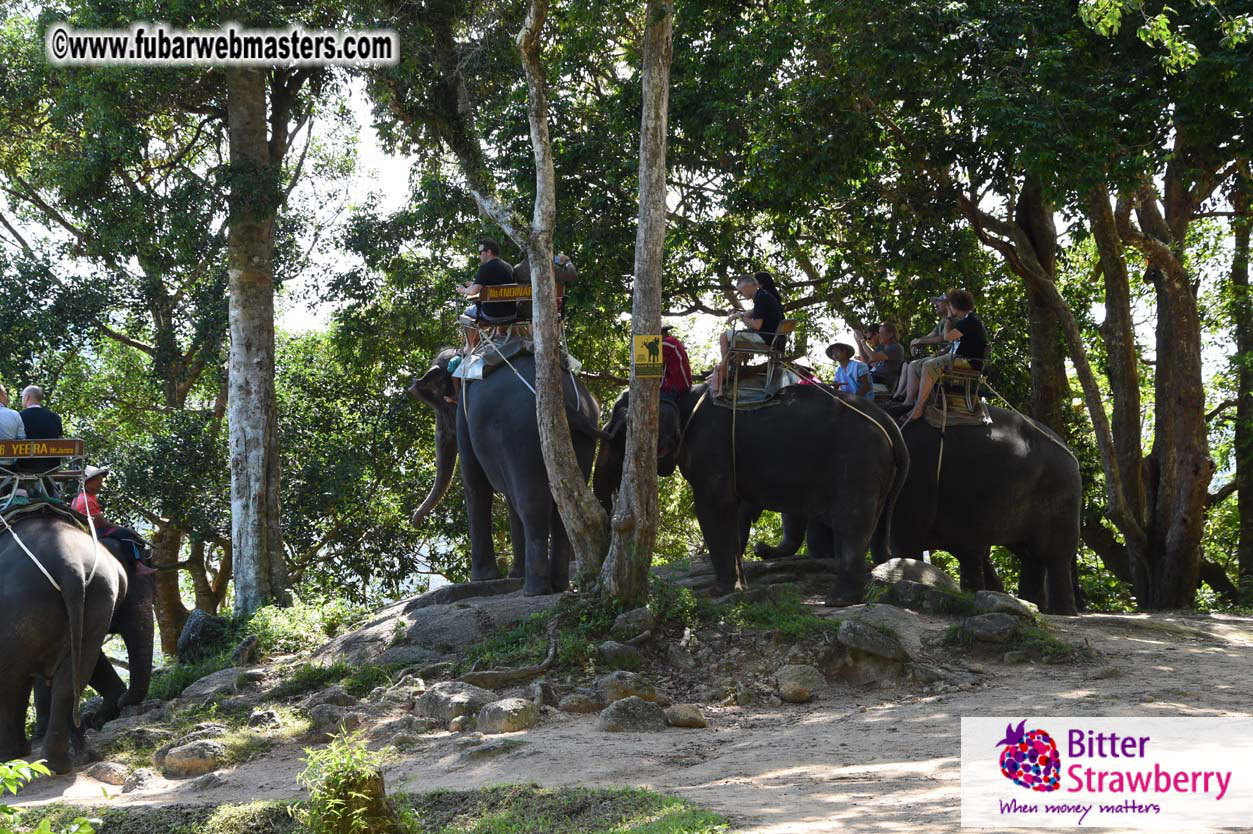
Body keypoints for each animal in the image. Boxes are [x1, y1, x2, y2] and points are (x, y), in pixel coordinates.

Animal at [1, 515, 128, 773]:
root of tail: (70, 567)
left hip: (20, 604)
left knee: (10, 680)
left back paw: (12, 756)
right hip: (99, 602)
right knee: (70, 681)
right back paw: (59, 763)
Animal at [407, 348, 603, 595]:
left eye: (441, 405)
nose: (415, 522)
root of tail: (565, 403)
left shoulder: (464, 417)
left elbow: (475, 485)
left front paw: (482, 578)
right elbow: (509, 500)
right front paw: (514, 575)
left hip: (520, 436)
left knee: (532, 506)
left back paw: (534, 589)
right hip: (580, 440)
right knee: (563, 506)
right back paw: (558, 586)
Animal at [594, 383, 910, 606]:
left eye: (615, 434)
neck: (685, 396)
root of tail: (890, 425)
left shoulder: (711, 448)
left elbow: (713, 507)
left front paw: (718, 591)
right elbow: (735, 513)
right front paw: (739, 587)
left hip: (857, 463)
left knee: (851, 523)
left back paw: (838, 601)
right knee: (876, 524)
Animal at [754, 404, 1082, 615]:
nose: (760, 547)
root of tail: (1069, 449)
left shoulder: (913, 484)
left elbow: (903, 539)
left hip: (1061, 497)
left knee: (1055, 555)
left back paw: (1062, 612)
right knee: (1030, 555)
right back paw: (1034, 605)